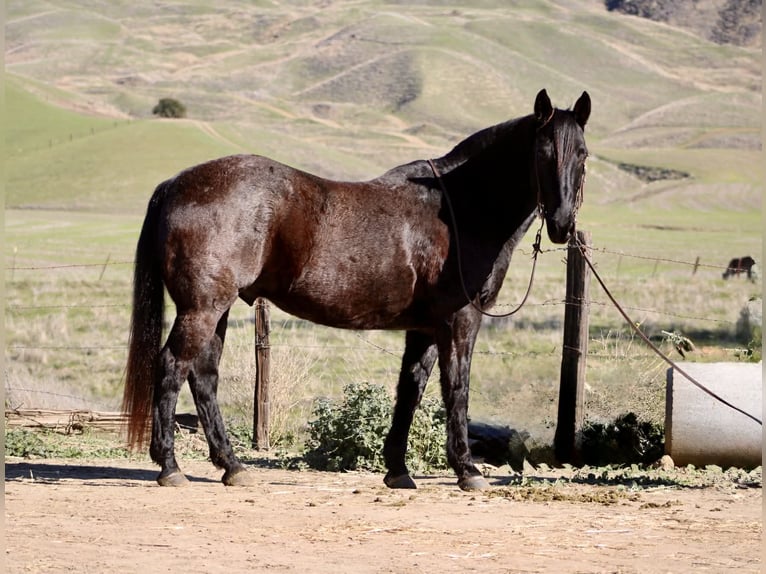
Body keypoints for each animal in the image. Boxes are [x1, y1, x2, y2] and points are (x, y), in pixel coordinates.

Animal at [123, 88, 591, 491]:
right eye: (543, 153)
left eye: (582, 154)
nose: (562, 225)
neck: (461, 208)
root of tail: (174, 185)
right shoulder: (460, 320)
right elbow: (456, 388)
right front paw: (467, 470)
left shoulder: (424, 328)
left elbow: (410, 390)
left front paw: (398, 470)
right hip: (201, 308)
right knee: (172, 367)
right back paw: (170, 467)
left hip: (215, 309)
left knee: (203, 376)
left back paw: (232, 466)